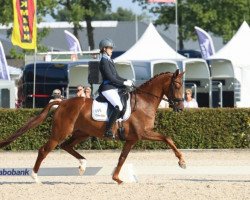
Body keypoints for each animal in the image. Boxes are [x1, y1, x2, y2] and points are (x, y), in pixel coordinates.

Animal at [0, 69, 186, 184]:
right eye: (177, 85)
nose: (181, 107)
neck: (143, 102)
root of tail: (62, 102)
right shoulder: (143, 133)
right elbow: (167, 138)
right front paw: (182, 162)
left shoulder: (131, 139)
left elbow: (122, 158)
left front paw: (117, 178)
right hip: (60, 132)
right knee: (44, 150)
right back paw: (35, 177)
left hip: (82, 133)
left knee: (66, 146)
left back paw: (83, 164)